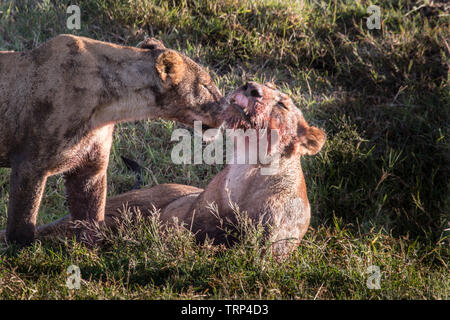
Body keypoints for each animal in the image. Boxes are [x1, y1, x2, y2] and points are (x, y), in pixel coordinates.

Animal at [0, 35, 224, 245]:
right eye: (206, 85)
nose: (226, 106)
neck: (112, 107)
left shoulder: (90, 167)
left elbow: (91, 214)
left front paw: (89, 249)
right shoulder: (30, 164)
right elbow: (23, 219)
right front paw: (20, 249)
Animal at [8, 82, 326, 258]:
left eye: (282, 104)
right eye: (258, 85)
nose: (251, 87)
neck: (249, 166)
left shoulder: (269, 246)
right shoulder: (186, 217)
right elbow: (181, 236)